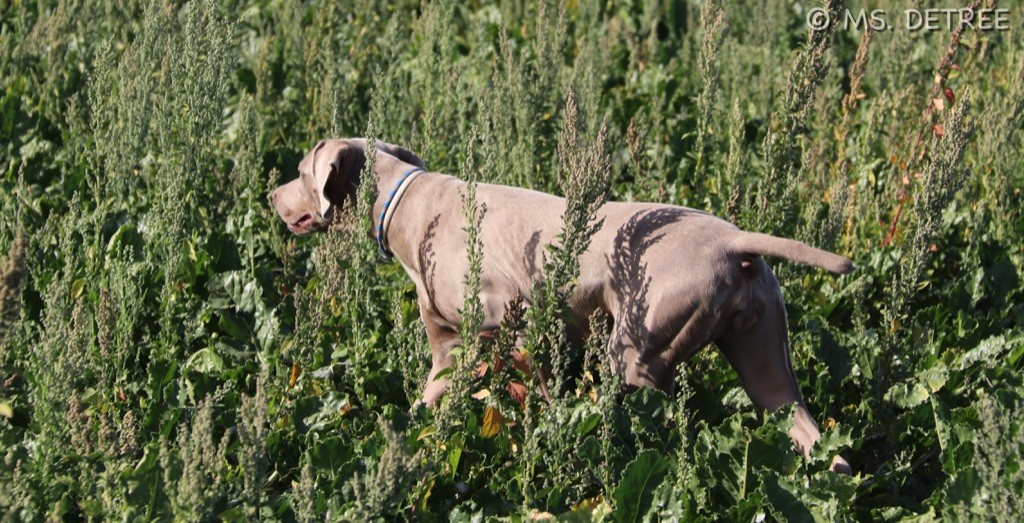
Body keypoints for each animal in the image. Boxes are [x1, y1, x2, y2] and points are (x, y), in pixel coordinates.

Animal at [272, 139, 856, 474]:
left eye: (300, 171)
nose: (270, 196)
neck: (406, 199)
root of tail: (733, 243)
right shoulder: (450, 351)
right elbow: (431, 398)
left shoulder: (517, 322)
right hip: (765, 362)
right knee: (811, 434)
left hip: (637, 356)